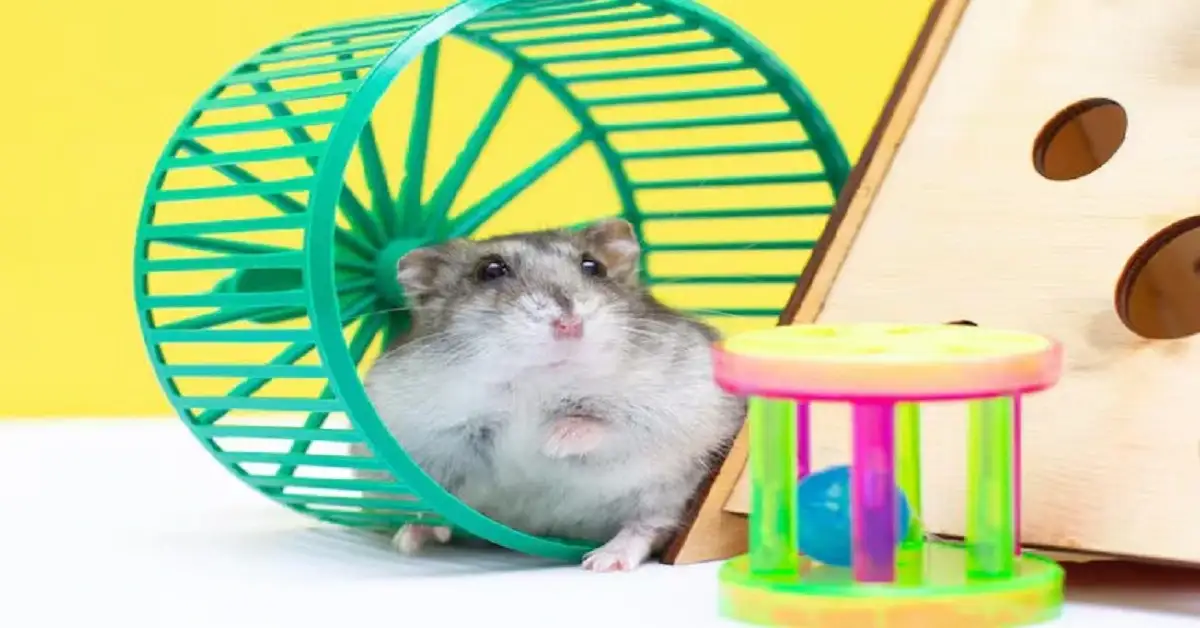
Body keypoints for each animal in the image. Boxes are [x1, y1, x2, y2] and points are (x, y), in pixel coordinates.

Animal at [359, 218, 746, 571]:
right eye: (490, 270)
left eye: (593, 266)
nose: (569, 323)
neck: (537, 383)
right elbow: (435, 488)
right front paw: (417, 533)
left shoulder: (677, 406)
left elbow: (603, 425)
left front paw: (549, 441)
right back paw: (410, 539)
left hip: (668, 492)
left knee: (648, 526)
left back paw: (603, 561)